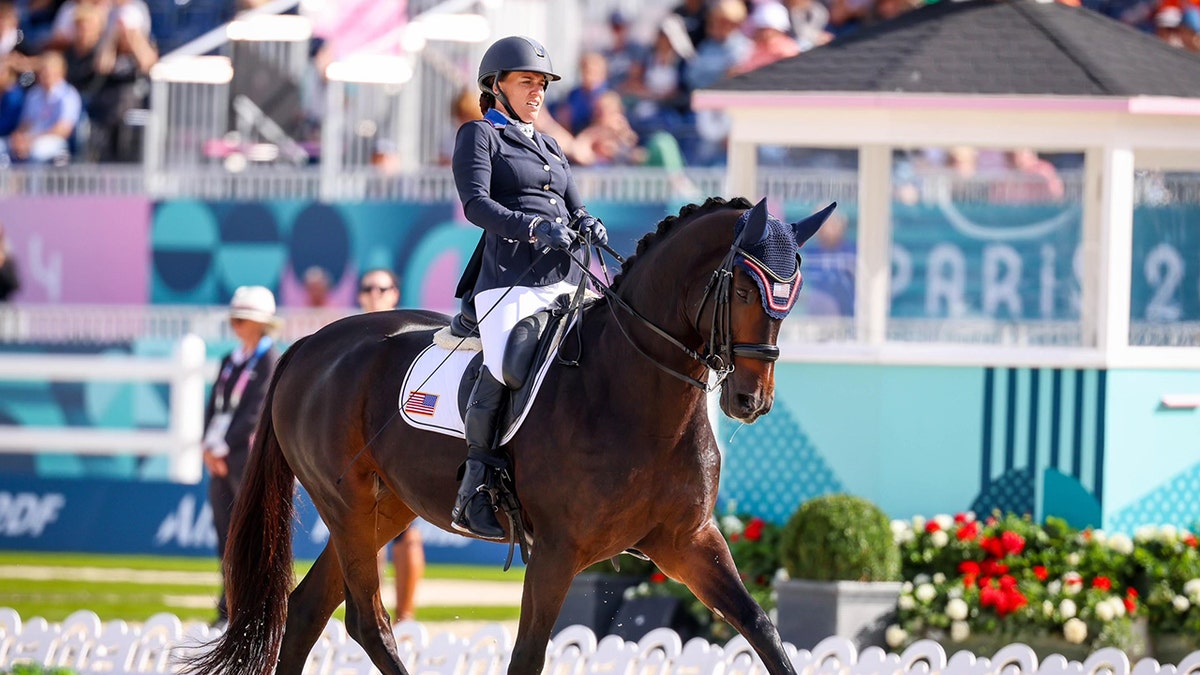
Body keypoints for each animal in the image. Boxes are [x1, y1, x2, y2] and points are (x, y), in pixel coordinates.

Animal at [187, 194, 835, 672]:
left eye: (794, 294)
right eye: (746, 289)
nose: (750, 401)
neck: (638, 394)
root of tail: (309, 344)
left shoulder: (688, 542)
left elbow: (761, 627)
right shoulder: (556, 552)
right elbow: (526, 658)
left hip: (383, 509)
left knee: (307, 611)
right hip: (344, 504)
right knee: (368, 621)